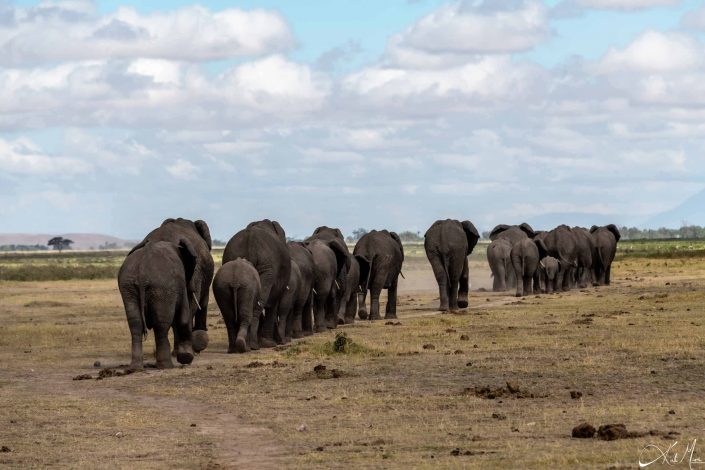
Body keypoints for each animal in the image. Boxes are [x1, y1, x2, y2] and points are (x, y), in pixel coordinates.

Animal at [117, 241, 197, 370]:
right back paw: (166, 366)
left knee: (135, 324)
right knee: (161, 326)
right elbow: (184, 317)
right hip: (162, 288)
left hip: (128, 287)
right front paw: (186, 358)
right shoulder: (181, 282)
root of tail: (142, 273)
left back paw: (136, 368)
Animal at [226, 220, 292, 348]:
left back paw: (249, 343)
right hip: (267, 268)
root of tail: (250, 239)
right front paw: (270, 342)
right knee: (260, 303)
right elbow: (273, 303)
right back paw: (258, 344)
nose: (283, 341)